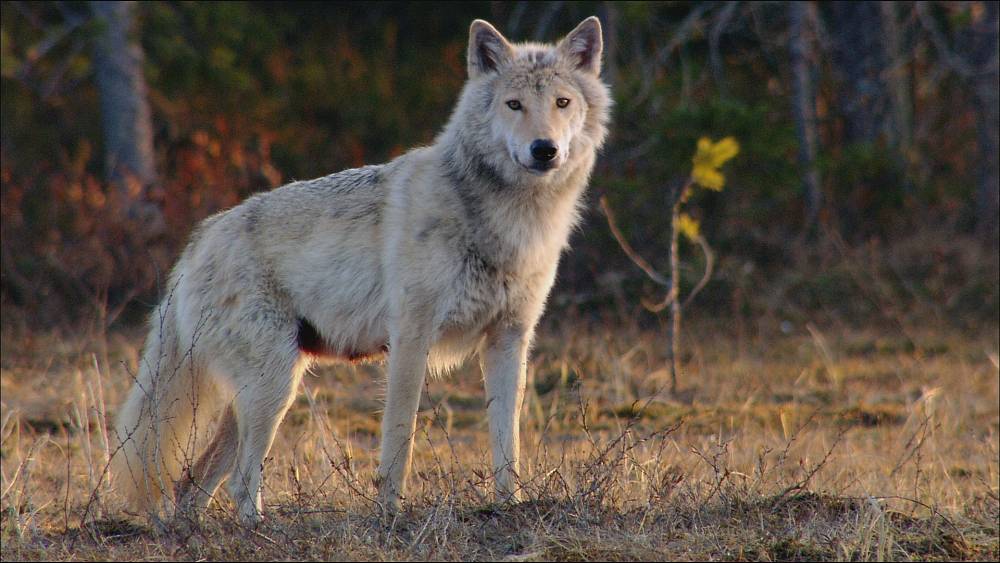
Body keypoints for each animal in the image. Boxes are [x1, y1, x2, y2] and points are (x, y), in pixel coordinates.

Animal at [109, 15, 608, 528]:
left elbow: (508, 441)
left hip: (268, 391)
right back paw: (260, 529)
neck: (512, 222)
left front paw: (510, 506)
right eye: (514, 104)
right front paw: (390, 513)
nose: (544, 149)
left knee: (193, 484)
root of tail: (198, 243)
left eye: (562, 103)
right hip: (274, 389)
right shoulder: (410, 339)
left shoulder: (509, 340)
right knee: (239, 481)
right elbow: (399, 439)